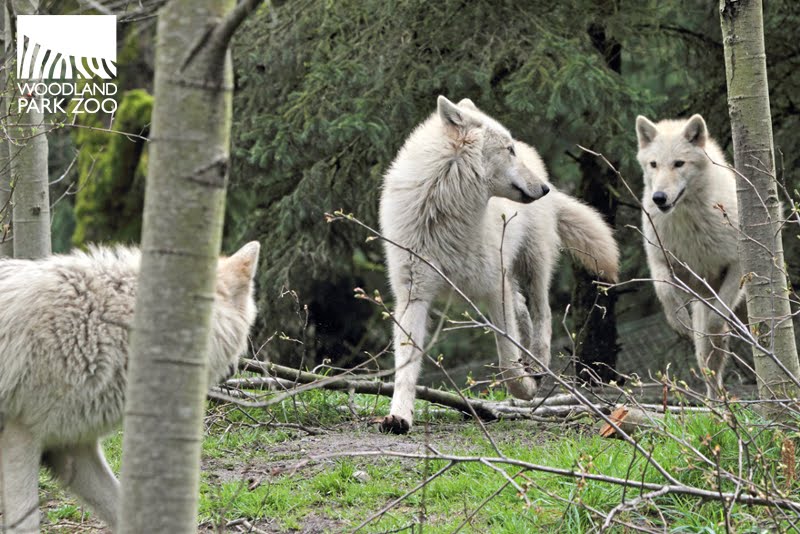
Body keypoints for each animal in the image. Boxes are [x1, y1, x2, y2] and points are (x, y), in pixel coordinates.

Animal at [378, 96, 619, 434]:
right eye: (508, 150)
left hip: (533, 265)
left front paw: (526, 388)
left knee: (542, 315)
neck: (445, 212)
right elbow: (406, 364)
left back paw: (538, 367)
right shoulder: (413, 295)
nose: (544, 188)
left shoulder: (494, 288)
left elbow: (507, 362)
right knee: (523, 314)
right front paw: (398, 416)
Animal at [636, 114, 742, 397]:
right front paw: (680, 324)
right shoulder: (659, 261)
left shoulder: (737, 264)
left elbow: (716, 320)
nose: (659, 197)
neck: (687, 221)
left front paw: (715, 331)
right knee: (708, 372)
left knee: (711, 355)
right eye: (653, 164)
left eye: (679, 164)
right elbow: (665, 292)